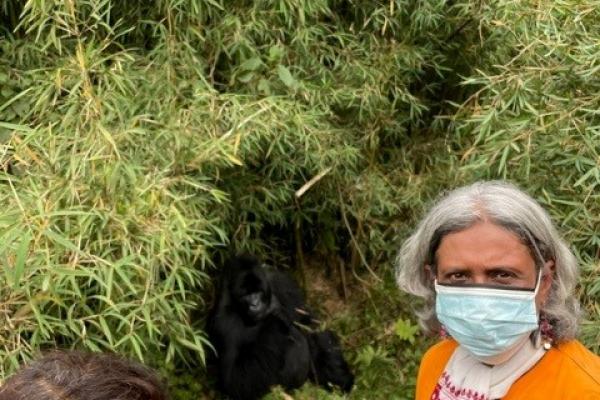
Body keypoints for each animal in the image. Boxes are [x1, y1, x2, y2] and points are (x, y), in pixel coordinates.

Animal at [207, 256, 354, 400]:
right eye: (246, 295)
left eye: (258, 291)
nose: (255, 305)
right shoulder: (223, 320)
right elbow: (234, 382)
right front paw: (273, 316)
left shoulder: (281, 282)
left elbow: (309, 325)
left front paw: (340, 379)